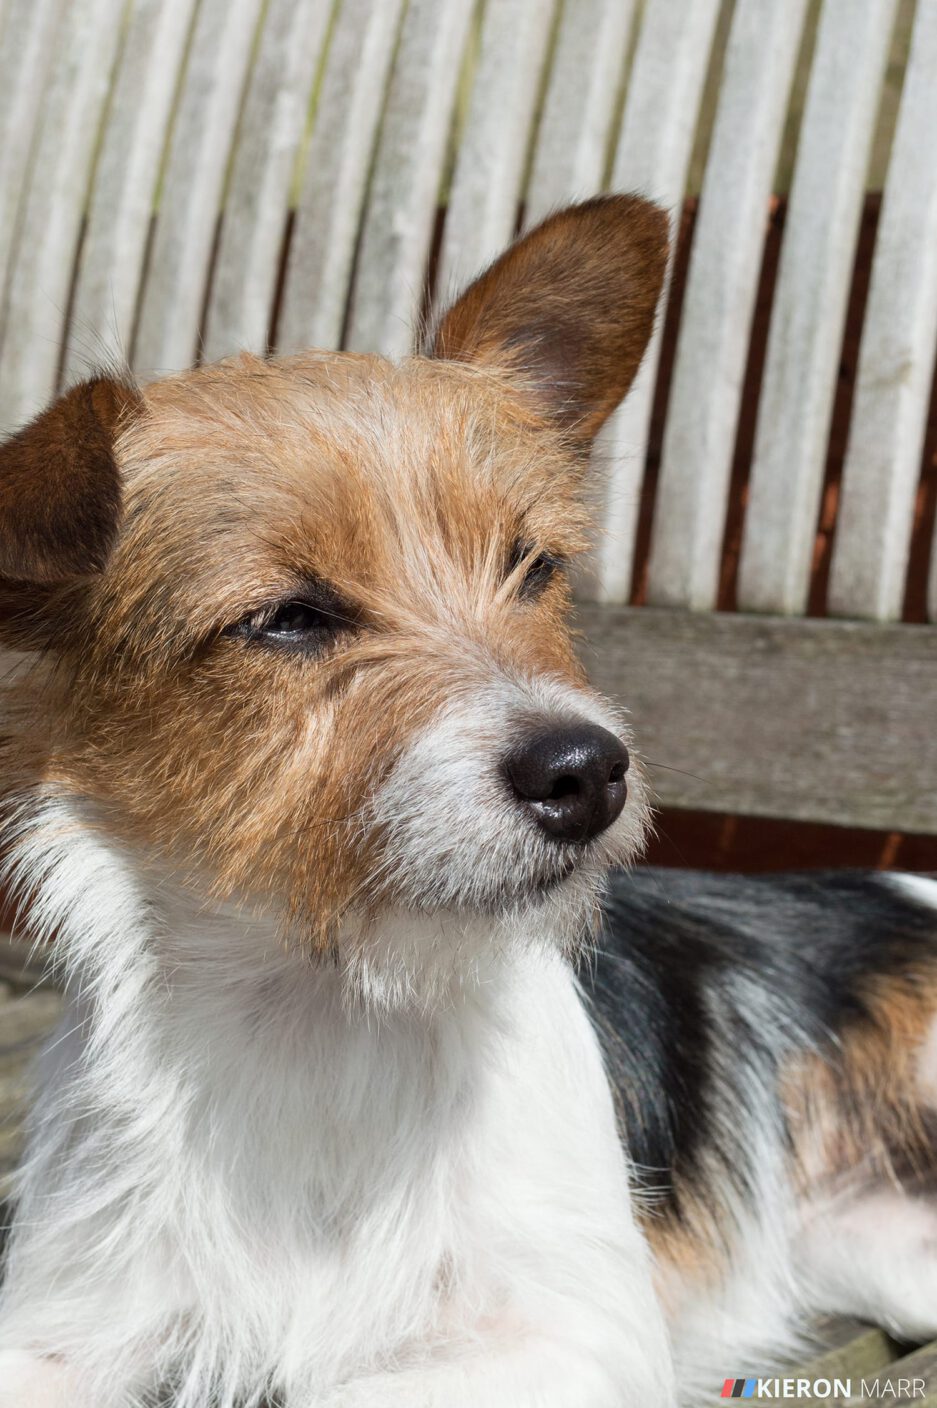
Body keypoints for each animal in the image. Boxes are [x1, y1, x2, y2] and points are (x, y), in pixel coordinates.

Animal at [0, 201, 929, 1408]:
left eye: (531, 566)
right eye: (287, 619)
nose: (586, 771)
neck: (326, 1016)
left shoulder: (564, 1336)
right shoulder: (59, 1319)